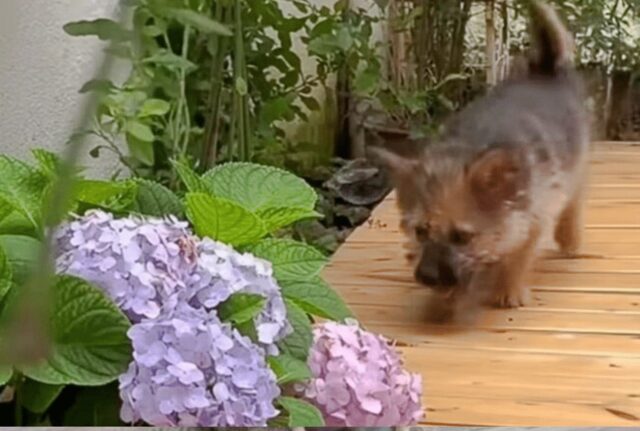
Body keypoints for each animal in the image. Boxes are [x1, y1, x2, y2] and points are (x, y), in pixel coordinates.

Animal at [370, 0, 592, 324]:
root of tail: (545, 68)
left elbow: (517, 257)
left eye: (462, 236)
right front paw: (448, 299)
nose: (427, 277)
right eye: (420, 231)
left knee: (575, 198)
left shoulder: (534, 218)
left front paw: (508, 291)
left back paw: (570, 237)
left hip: (577, 162)